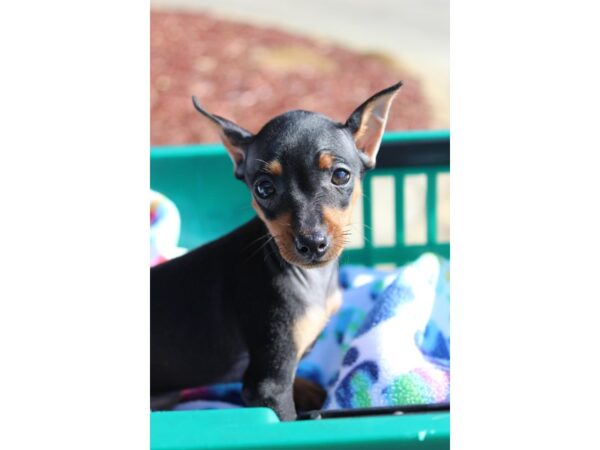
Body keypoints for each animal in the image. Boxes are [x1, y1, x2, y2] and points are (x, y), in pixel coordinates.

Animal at [150, 81, 404, 422]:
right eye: (264, 188)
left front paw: (305, 387)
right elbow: (286, 412)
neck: (313, 280)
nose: (312, 243)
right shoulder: (266, 386)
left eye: (341, 175)